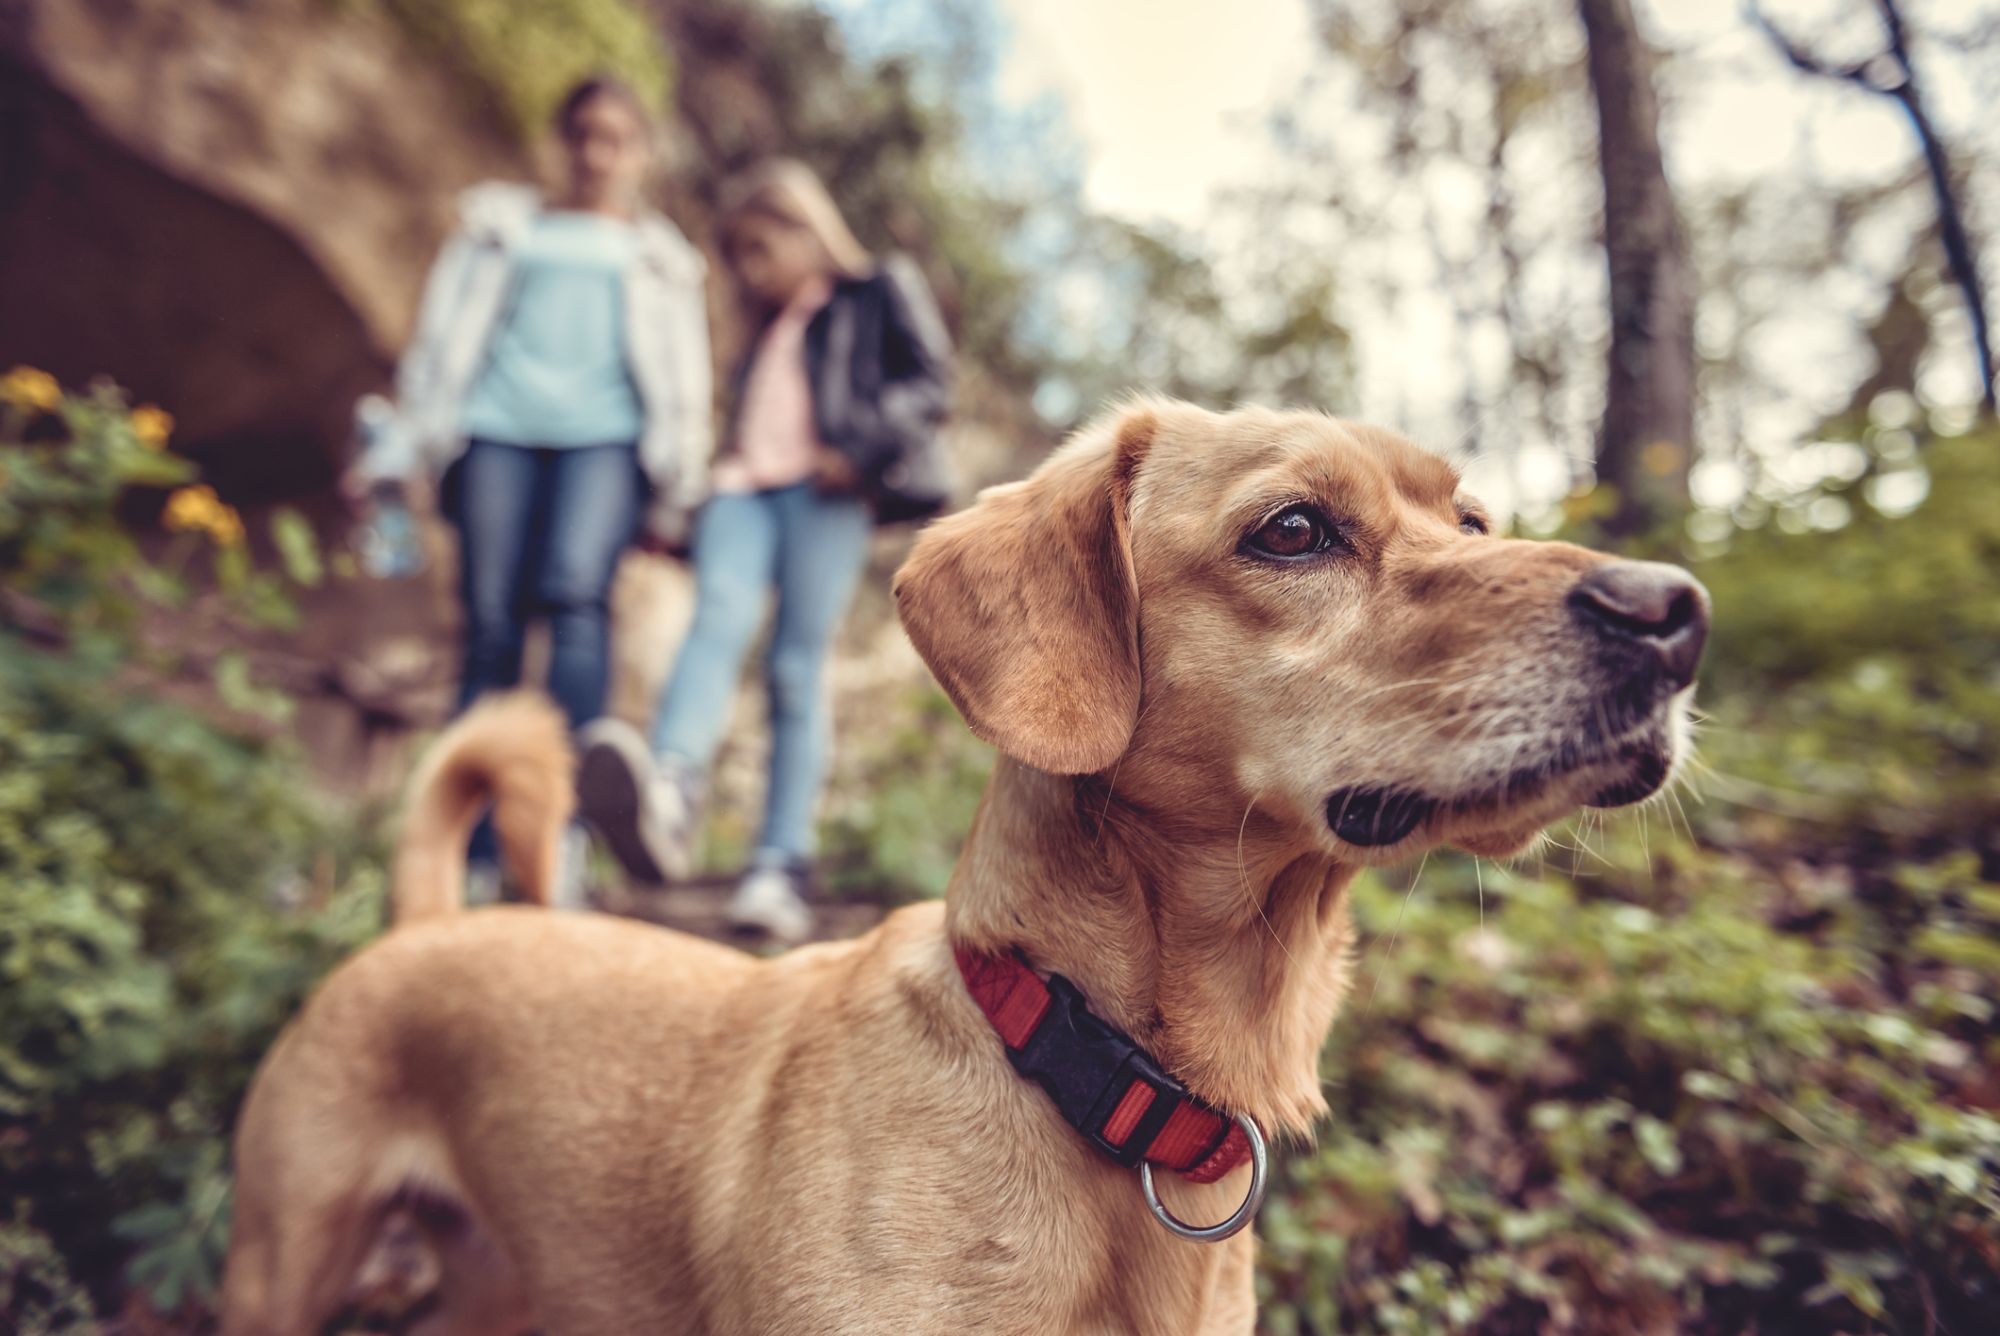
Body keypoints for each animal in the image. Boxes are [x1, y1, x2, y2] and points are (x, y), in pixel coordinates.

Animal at [227, 402, 1712, 1328]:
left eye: (1472, 521)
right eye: (1293, 529)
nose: (1674, 612)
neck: (1093, 1071)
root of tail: (424, 924)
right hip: (282, 1262)